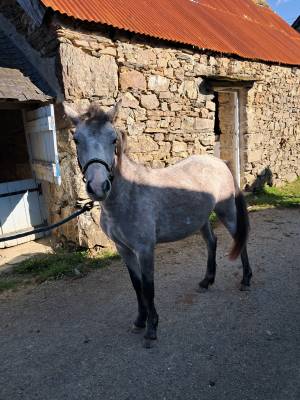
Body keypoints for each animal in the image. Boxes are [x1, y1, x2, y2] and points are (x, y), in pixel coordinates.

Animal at [64, 102, 252, 346]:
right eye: (77, 139)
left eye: (113, 139)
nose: (98, 187)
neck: (128, 194)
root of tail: (219, 161)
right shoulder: (123, 249)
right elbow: (136, 285)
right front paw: (140, 320)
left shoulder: (145, 249)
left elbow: (148, 286)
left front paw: (152, 327)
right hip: (201, 219)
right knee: (212, 242)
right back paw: (206, 281)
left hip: (226, 211)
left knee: (240, 240)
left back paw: (246, 279)